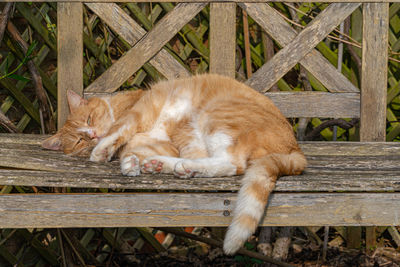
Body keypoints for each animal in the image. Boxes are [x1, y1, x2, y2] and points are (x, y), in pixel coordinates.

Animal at [43, 73, 306, 255]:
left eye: (89, 119)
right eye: (78, 141)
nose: (93, 135)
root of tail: (295, 147)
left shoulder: (142, 113)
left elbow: (121, 128)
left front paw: (103, 149)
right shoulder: (166, 141)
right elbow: (136, 150)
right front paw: (131, 163)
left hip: (216, 115)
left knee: (233, 163)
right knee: (217, 162)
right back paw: (166, 166)